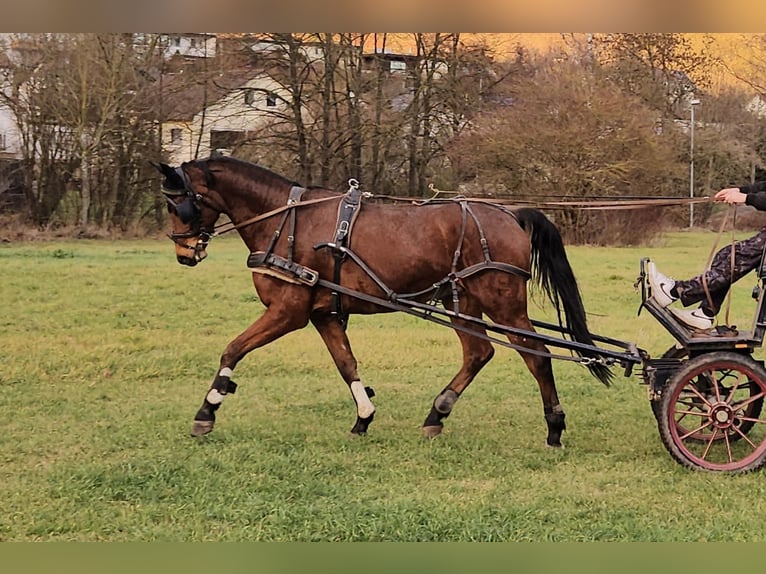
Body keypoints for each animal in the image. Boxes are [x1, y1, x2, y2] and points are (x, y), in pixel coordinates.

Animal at [154, 155, 612, 448]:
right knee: (479, 353)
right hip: (462, 301)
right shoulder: (324, 314)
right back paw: (437, 414)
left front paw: (207, 411)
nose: (183, 253)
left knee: (536, 355)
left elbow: (232, 349)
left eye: (177, 202)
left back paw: (554, 426)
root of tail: (510, 213)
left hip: (503, 304)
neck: (286, 221)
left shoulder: (288, 311)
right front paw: (363, 416)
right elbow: (347, 365)